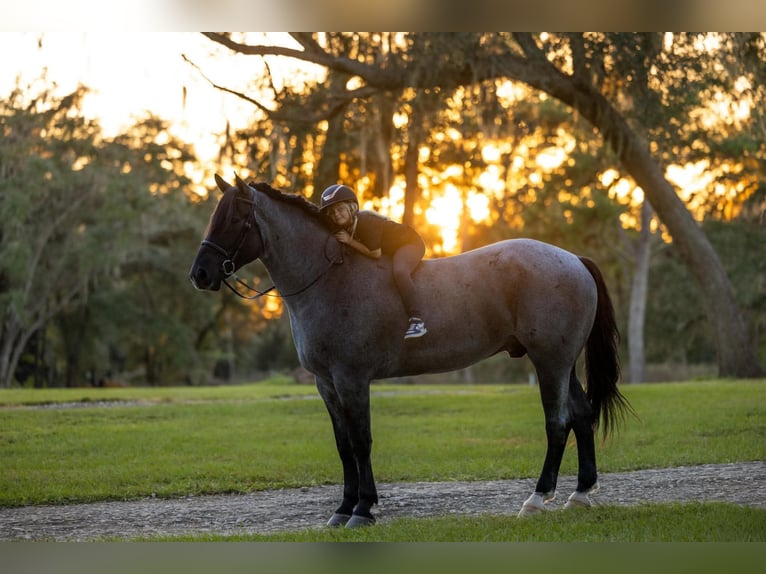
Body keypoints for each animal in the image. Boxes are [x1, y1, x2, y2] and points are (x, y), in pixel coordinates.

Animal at [189, 174, 632, 528]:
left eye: (235, 218)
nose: (200, 274)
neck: (328, 277)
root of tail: (572, 258)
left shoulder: (351, 380)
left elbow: (361, 441)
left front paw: (362, 510)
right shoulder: (326, 384)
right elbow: (343, 446)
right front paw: (343, 508)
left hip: (550, 362)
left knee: (558, 424)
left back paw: (537, 500)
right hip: (562, 363)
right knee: (581, 416)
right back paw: (579, 495)